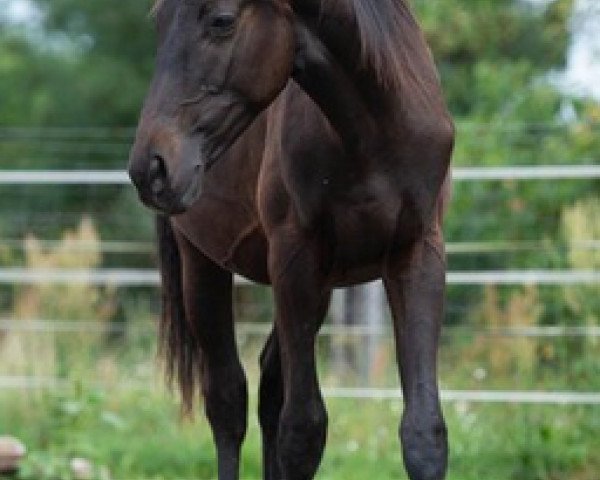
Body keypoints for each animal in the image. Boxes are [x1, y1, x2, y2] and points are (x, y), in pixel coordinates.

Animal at [129, 0, 452, 480]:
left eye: (222, 21)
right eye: (158, 22)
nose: (150, 168)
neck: (374, 129)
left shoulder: (418, 255)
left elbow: (424, 431)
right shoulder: (295, 260)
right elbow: (303, 431)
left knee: (267, 389)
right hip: (203, 264)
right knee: (227, 401)